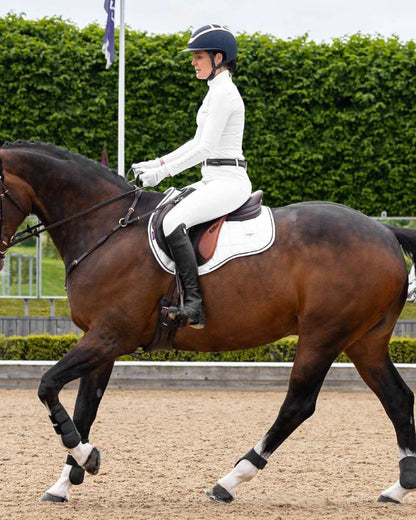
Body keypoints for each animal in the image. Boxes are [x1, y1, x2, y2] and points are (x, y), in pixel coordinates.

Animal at [0, 140, 416, 506]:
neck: (105, 227)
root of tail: (385, 231)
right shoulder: (100, 339)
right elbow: (85, 407)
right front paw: (66, 481)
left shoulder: (110, 336)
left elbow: (48, 385)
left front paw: (86, 458)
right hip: (364, 342)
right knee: (397, 398)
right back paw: (399, 488)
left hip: (323, 336)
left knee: (298, 405)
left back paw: (229, 481)